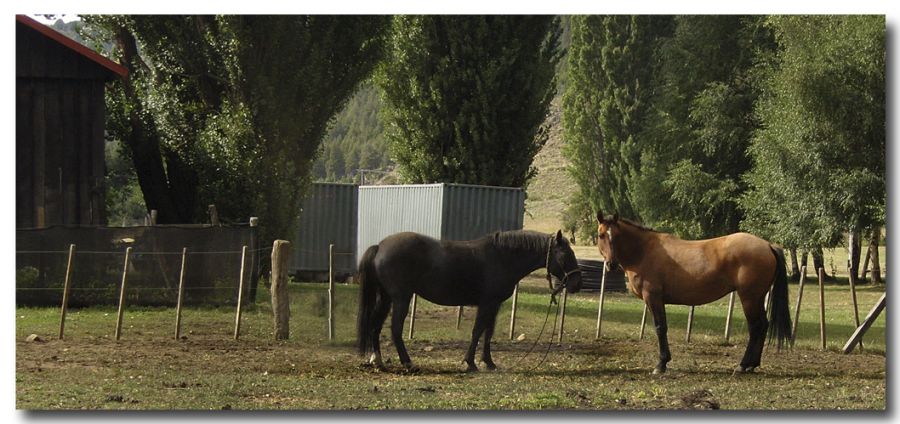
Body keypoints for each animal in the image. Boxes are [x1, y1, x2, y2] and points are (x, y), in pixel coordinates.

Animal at [356, 230, 580, 372]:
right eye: (565, 255)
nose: (577, 283)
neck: (502, 257)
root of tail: (380, 246)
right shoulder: (488, 303)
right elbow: (478, 331)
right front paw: (470, 362)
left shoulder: (494, 305)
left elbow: (488, 332)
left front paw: (488, 362)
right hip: (401, 298)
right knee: (395, 329)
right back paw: (407, 363)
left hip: (387, 298)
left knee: (375, 325)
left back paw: (377, 361)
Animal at [596, 210, 788, 372]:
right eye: (601, 235)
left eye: (617, 235)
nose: (611, 264)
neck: (643, 251)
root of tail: (767, 245)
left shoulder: (653, 297)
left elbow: (660, 328)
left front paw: (661, 364)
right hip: (757, 297)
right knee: (763, 325)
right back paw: (752, 365)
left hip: (749, 297)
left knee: (755, 326)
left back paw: (743, 365)